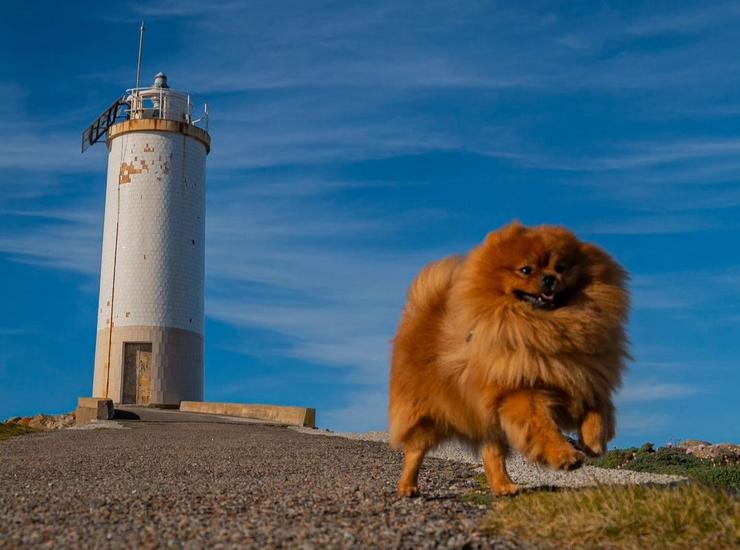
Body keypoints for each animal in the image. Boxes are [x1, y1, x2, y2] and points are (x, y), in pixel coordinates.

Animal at [388, 222, 632, 498]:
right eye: (526, 270)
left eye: (561, 267)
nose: (550, 278)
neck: (545, 327)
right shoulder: (520, 393)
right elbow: (543, 427)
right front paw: (565, 455)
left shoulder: (583, 377)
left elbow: (598, 410)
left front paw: (593, 441)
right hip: (427, 414)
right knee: (415, 451)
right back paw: (408, 486)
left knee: (491, 452)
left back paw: (504, 486)